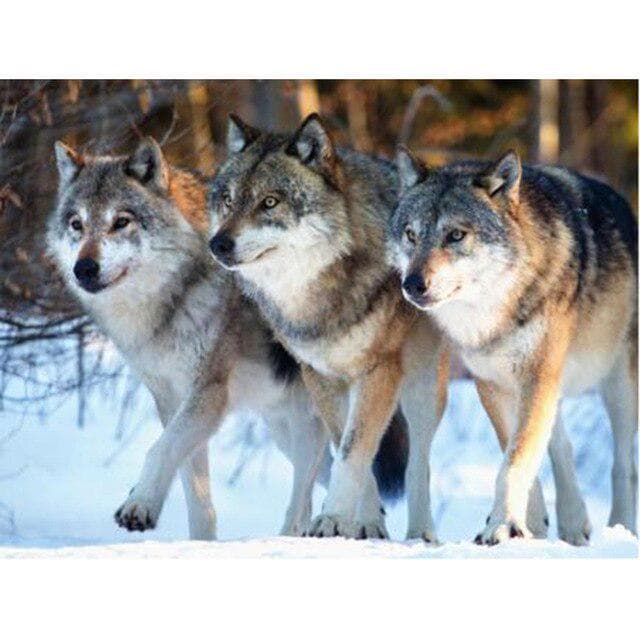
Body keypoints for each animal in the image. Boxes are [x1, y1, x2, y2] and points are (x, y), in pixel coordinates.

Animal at [48, 137, 409, 540]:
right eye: (76, 224)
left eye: (121, 222)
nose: (84, 268)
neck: (172, 298)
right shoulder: (171, 400)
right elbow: (194, 490)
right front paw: (200, 542)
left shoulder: (208, 392)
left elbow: (159, 450)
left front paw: (138, 504)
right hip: (284, 424)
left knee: (319, 474)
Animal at [391, 146, 638, 544]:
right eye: (411, 235)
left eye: (456, 235)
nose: (412, 284)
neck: (495, 310)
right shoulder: (493, 383)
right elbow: (516, 452)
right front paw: (525, 525)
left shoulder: (537, 376)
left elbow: (515, 459)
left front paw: (504, 524)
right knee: (561, 444)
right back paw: (573, 521)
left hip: (618, 386)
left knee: (623, 462)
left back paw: (622, 529)